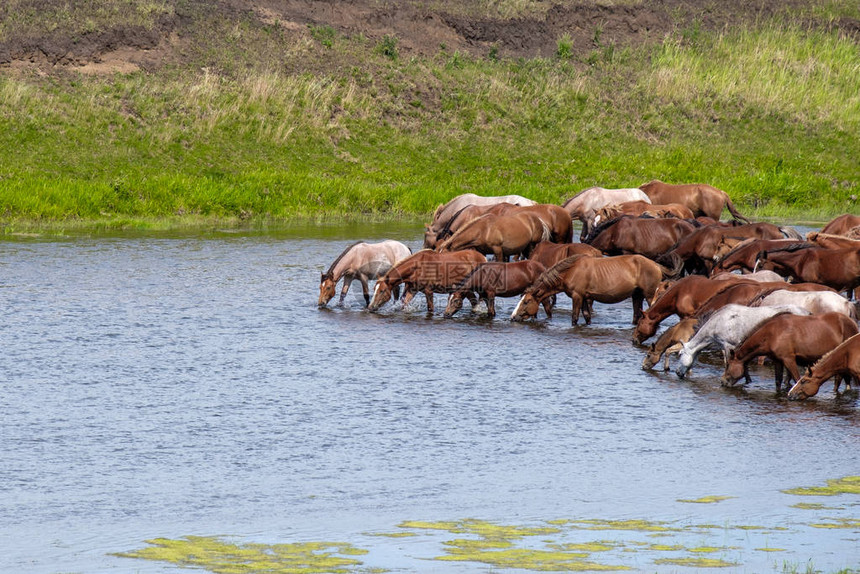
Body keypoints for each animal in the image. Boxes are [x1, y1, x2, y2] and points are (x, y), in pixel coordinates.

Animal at [510, 254, 684, 326]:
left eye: (526, 301)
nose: (513, 317)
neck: (571, 271)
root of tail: (656, 265)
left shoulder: (577, 297)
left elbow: (574, 317)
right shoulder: (584, 297)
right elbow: (587, 317)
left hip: (648, 296)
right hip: (637, 296)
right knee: (637, 315)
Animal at [676, 306, 808, 382]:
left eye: (680, 354)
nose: (677, 372)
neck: (717, 323)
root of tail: (807, 312)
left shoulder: (728, 346)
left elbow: (728, 363)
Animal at [724, 312, 856, 394]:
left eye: (728, 365)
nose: (723, 381)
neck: (772, 333)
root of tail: (852, 322)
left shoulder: (789, 359)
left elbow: (797, 379)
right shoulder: (778, 361)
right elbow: (778, 382)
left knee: (838, 380)